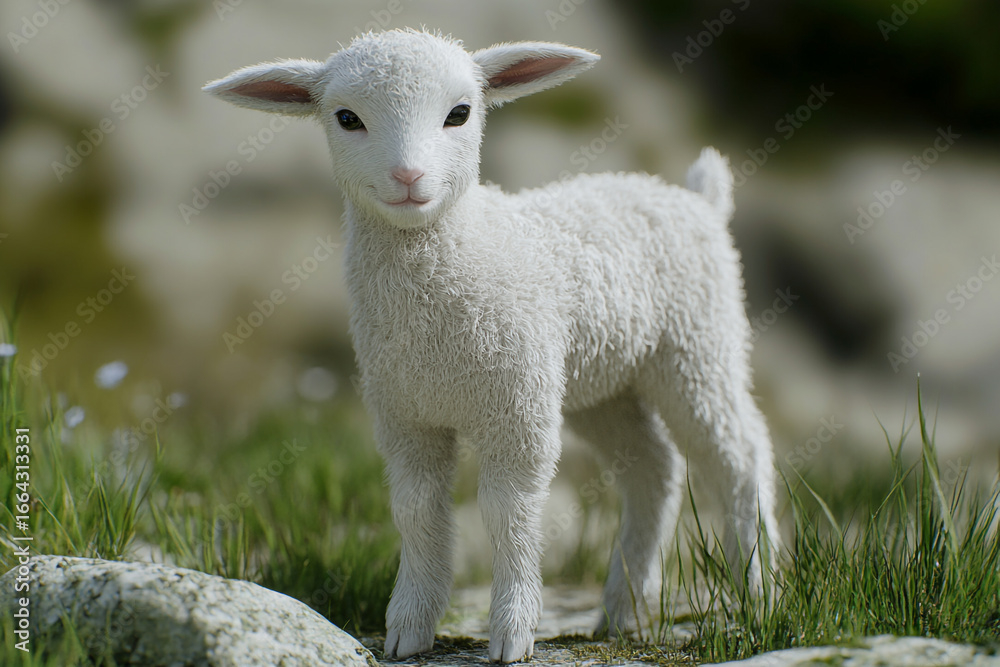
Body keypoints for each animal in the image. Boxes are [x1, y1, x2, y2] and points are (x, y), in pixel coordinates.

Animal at [205, 28, 779, 664]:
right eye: (346, 118)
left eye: (460, 113)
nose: (409, 177)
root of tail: (695, 199)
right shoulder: (405, 415)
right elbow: (416, 510)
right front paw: (409, 627)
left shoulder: (517, 410)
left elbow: (510, 513)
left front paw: (512, 631)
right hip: (598, 382)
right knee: (654, 468)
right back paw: (622, 611)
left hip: (696, 345)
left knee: (739, 454)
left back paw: (757, 594)